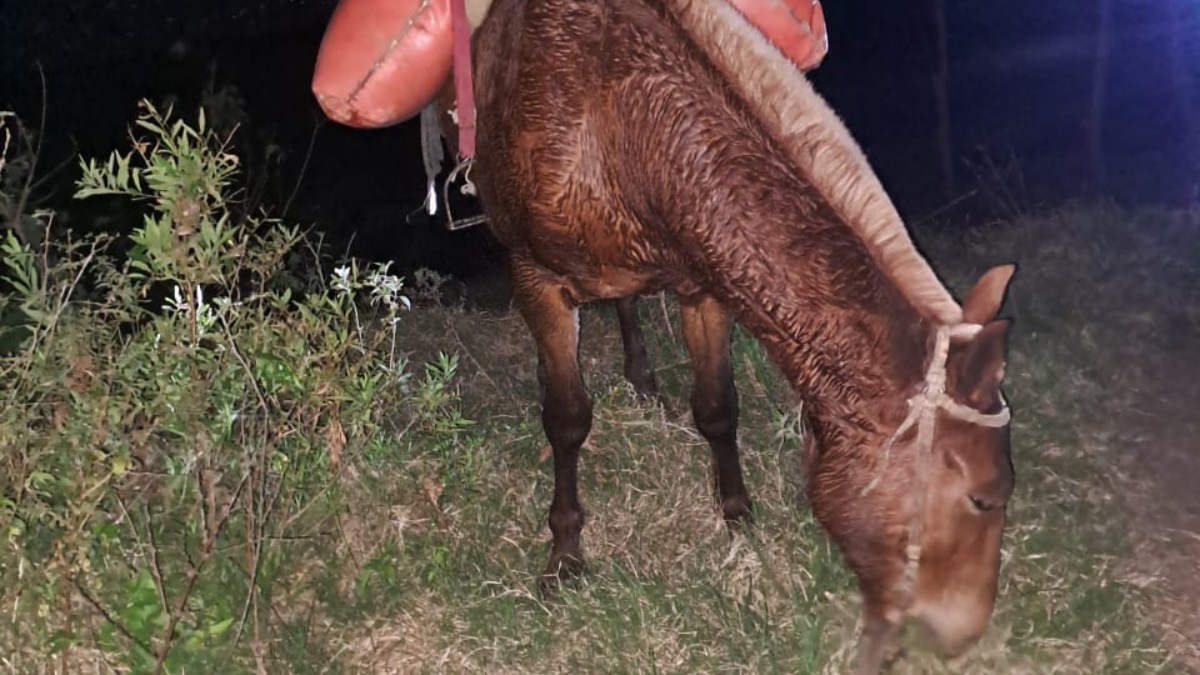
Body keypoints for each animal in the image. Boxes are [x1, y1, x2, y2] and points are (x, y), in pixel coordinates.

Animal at [467, 0, 1018, 670]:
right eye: (983, 499)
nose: (961, 638)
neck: (617, 128)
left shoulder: (702, 285)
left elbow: (716, 408)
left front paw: (736, 515)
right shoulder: (536, 278)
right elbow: (567, 420)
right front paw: (565, 555)